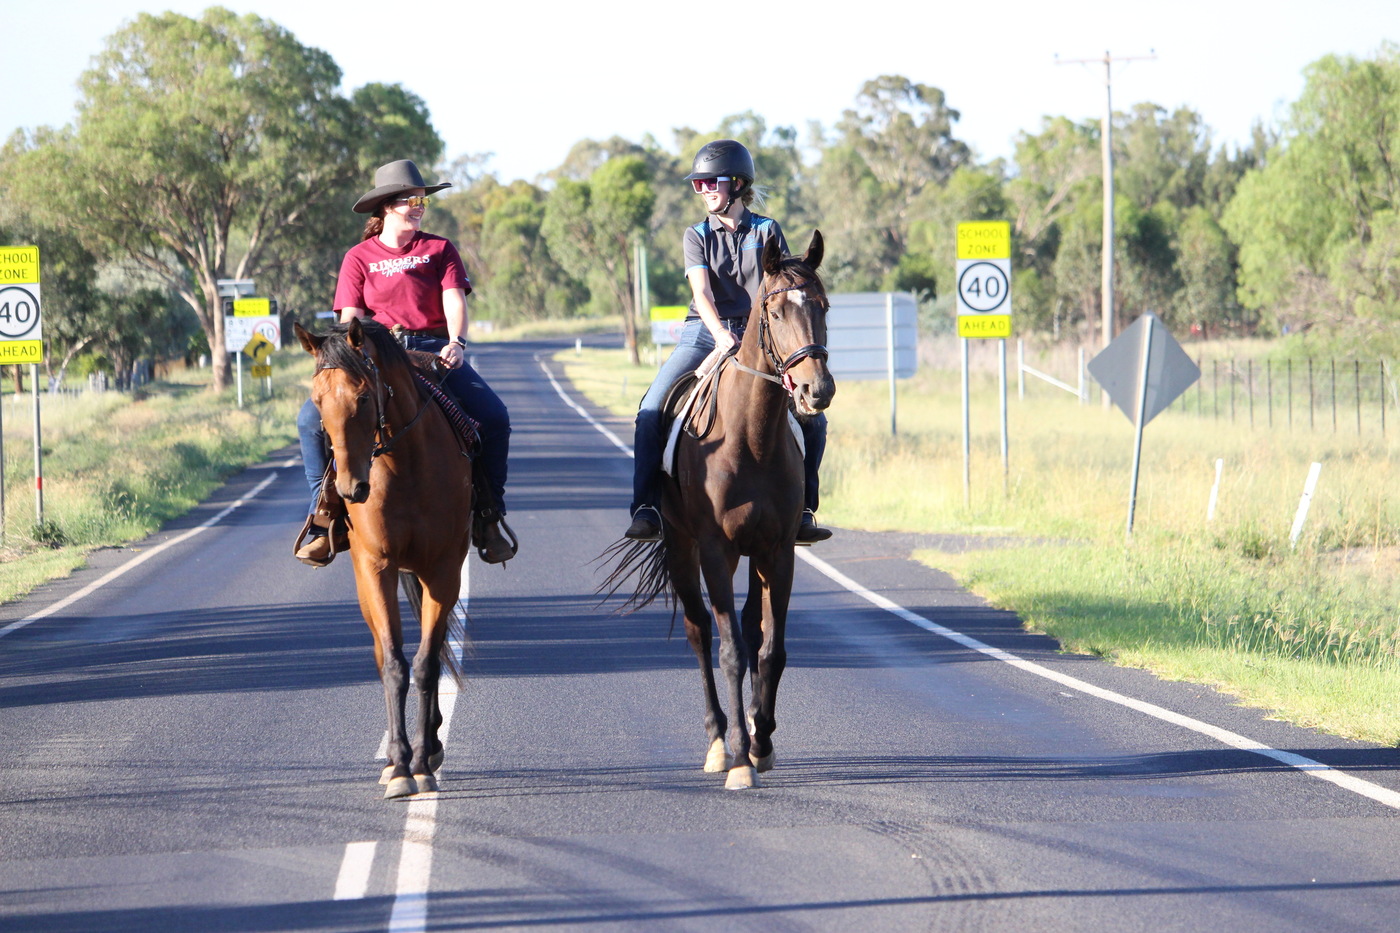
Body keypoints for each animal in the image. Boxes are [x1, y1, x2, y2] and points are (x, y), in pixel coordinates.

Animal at [294, 318, 472, 799]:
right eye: (317, 401)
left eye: (363, 397)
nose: (350, 487)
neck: (404, 467)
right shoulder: (376, 568)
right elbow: (394, 665)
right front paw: (399, 767)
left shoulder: (443, 571)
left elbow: (427, 663)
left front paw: (423, 761)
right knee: (380, 652)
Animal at [608, 230, 835, 790]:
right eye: (774, 311)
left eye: (822, 306)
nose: (817, 390)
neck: (750, 438)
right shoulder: (715, 551)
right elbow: (729, 650)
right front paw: (738, 763)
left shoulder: (778, 551)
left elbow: (770, 649)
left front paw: (762, 743)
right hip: (682, 550)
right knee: (698, 632)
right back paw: (717, 741)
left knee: (753, 630)